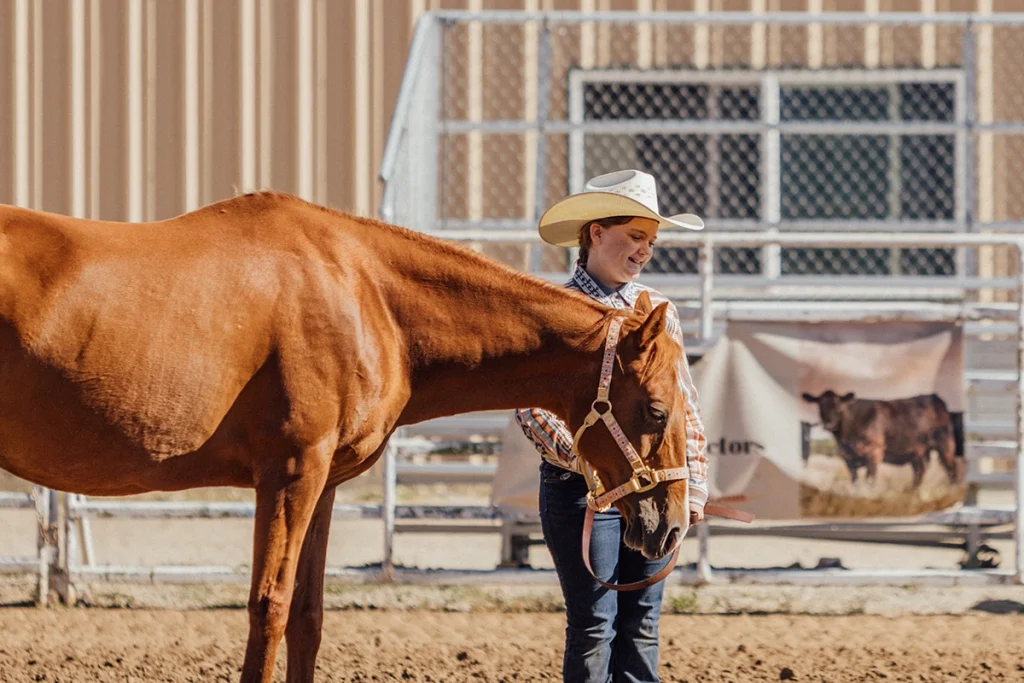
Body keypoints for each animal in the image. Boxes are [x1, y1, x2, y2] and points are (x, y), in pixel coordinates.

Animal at [0, 190, 701, 682]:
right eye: (657, 410)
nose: (671, 525)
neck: (367, 296)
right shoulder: (290, 473)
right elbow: (270, 608)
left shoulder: (323, 484)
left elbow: (307, 616)